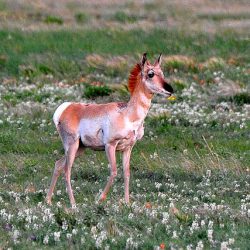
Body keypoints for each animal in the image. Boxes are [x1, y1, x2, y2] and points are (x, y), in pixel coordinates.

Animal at [46, 53, 173, 208]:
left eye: (162, 73)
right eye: (151, 74)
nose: (170, 90)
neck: (127, 114)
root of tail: (67, 108)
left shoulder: (128, 148)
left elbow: (126, 173)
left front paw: (127, 203)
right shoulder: (110, 145)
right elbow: (113, 172)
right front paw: (100, 199)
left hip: (80, 148)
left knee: (58, 164)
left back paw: (48, 200)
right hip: (72, 146)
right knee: (67, 170)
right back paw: (73, 204)